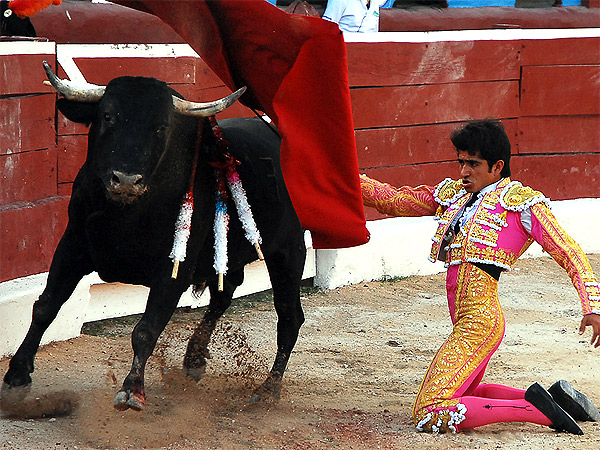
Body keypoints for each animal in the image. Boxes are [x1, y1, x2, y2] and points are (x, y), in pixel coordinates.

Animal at [2, 62, 308, 412]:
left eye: (161, 127)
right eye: (108, 115)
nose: (125, 179)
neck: (126, 214)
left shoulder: (174, 269)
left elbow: (147, 329)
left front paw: (132, 389)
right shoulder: (72, 246)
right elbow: (46, 306)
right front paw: (16, 376)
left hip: (289, 251)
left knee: (289, 317)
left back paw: (267, 389)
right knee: (224, 295)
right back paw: (194, 361)